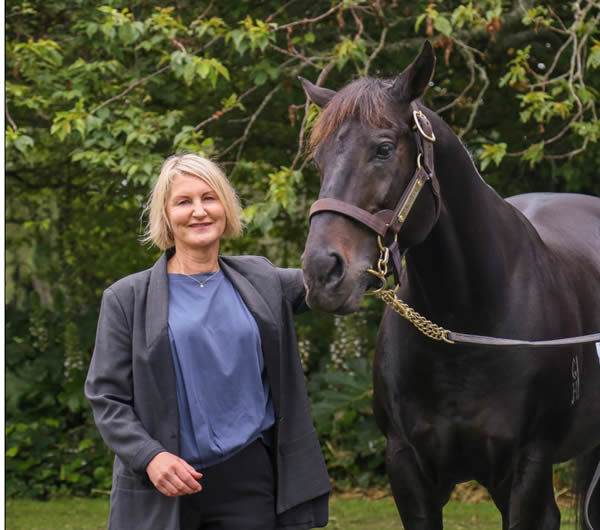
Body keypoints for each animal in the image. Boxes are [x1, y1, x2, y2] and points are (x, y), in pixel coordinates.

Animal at [302, 42, 600, 528]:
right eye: (319, 159)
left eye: (383, 148)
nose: (322, 272)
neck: (467, 325)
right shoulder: (408, 470)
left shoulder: (527, 468)